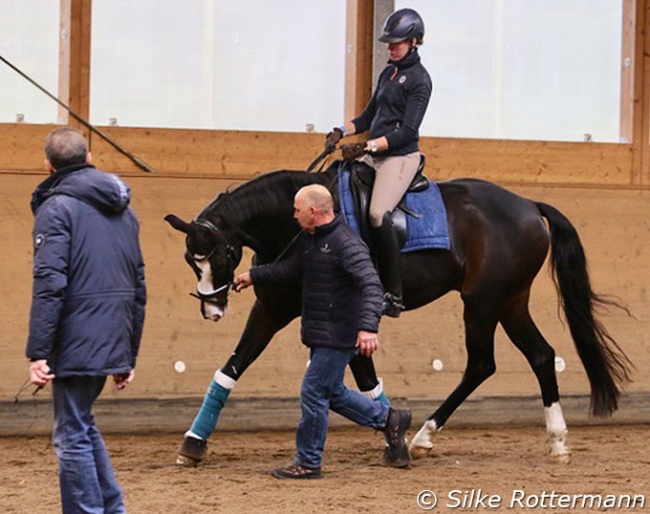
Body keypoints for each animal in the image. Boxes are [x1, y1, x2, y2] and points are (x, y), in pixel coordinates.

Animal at [165, 161, 632, 464]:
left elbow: (366, 382)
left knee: (483, 364)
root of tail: (529, 205)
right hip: (508, 301)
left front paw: (396, 437)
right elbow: (231, 369)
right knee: (537, 356)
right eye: (190, 260)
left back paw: (429, 435)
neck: (300, 230)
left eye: (220, 254)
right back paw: (556, 440)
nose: (212, 308)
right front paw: (193, 442)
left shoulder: (349, 318)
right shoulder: (271, 309)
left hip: (484, 303)